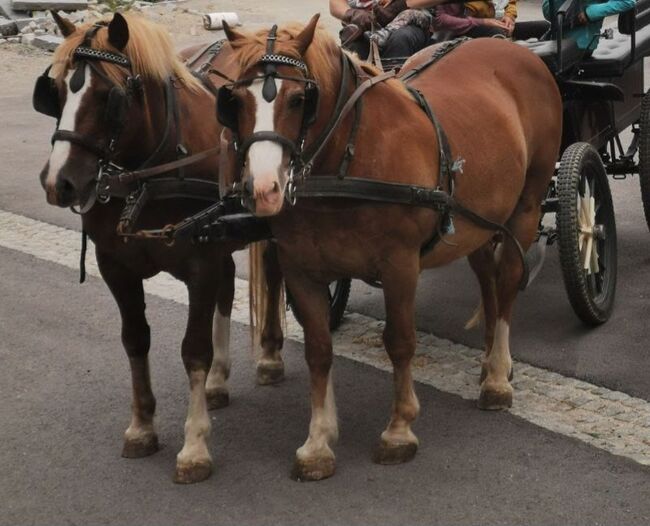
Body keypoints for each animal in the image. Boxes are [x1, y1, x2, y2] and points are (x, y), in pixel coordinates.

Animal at [37, 12, 286, 484]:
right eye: (54, 91)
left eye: (109, 97)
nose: (59, 183)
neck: (148, 174)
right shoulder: (116, 265)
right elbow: (135, 340)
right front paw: (142, 426)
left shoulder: (200, 263)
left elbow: (193, 350)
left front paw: (195, 447)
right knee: (229, 286)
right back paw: (219, 381)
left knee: (276, 278)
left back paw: (269, 358)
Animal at [219, 14, 560, 482]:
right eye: (234, 101)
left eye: (299, 100)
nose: (263, 189)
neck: (346, 162)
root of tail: (511, 48)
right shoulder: (301, 269)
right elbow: (318, 350)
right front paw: (318, 442)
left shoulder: (400, 265)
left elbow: (399, 341)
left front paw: (399, 431)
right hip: (475, 219)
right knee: (487, 279)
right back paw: (493, 358)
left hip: (525, 206)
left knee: (507, 279)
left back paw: (496, 378)